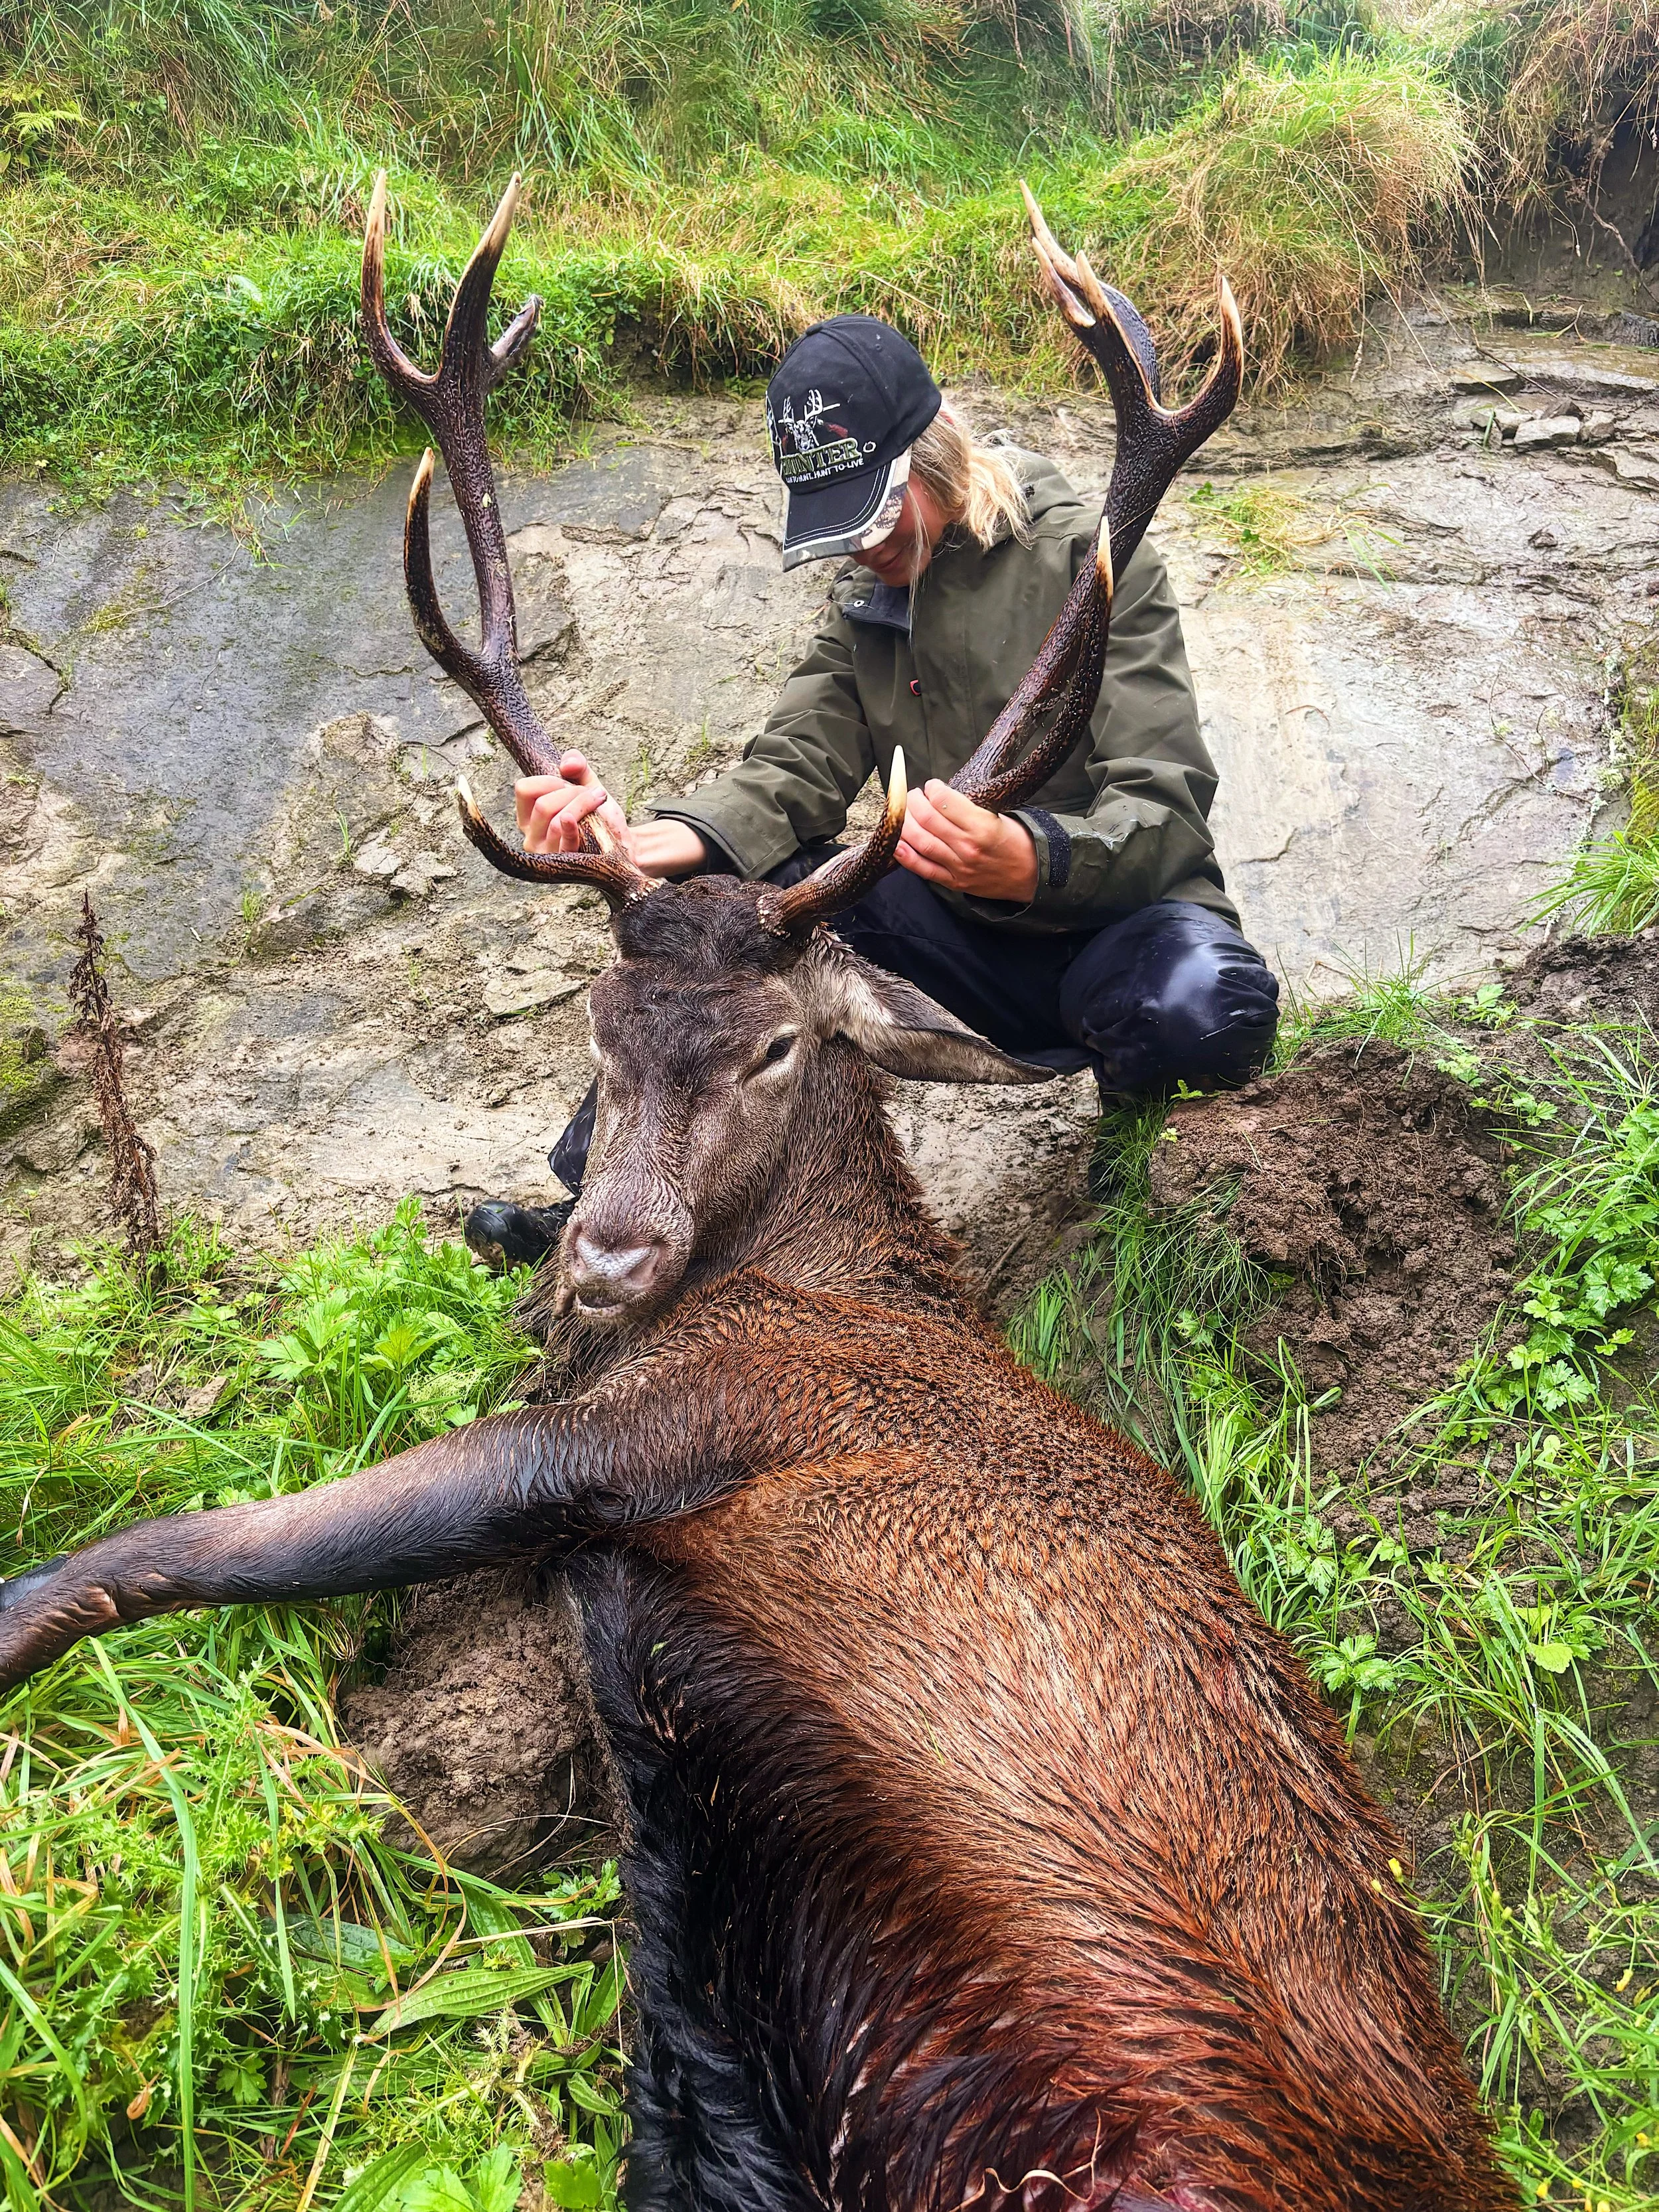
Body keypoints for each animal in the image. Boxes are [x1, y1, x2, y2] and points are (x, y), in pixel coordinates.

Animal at [0, 178, 1513, 2212]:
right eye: (597, 1020)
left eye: (784, 1045)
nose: (609, 1259)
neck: (795, 1276)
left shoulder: (650, 1427)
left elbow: (158, 1546)